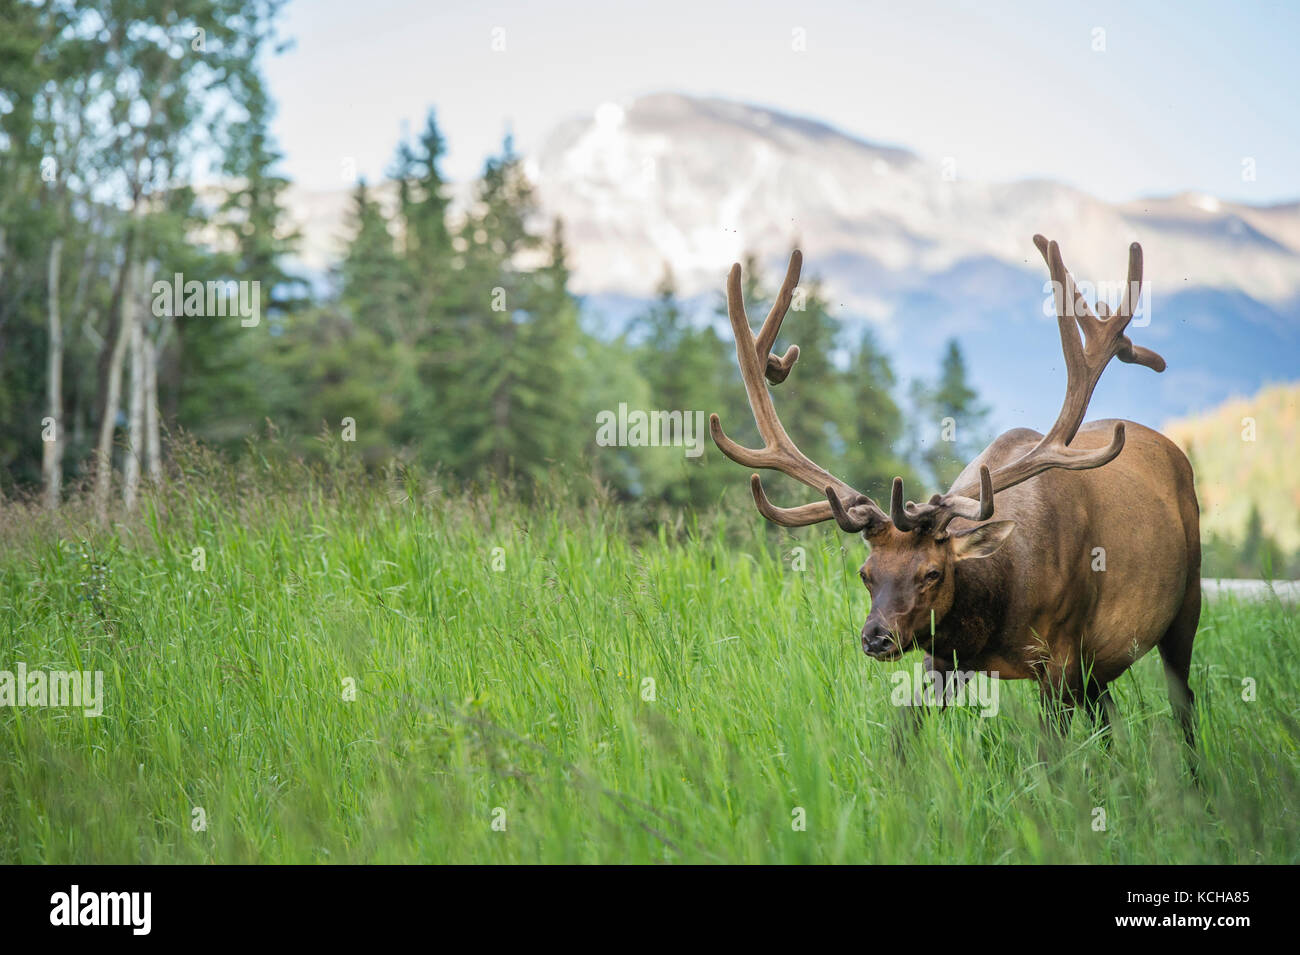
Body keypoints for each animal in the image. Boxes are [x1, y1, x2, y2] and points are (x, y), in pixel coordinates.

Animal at [712, 237, 1196, 748]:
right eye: (865, 573)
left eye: (933, 573)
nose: (876, 638)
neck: (996, 617)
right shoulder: (941, 658)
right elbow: (903, 737)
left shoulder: (1060, 656)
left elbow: (1053, 755)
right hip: (1096, 668)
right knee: (1109, 721)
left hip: (1183, 603)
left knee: (1183, 705)